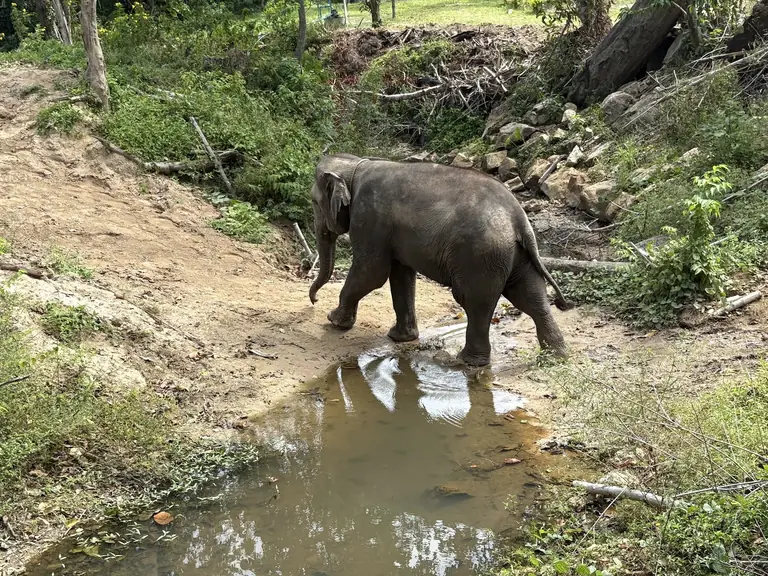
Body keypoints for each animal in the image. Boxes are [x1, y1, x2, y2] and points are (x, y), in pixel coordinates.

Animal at [308, 153, 569, 366]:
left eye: (314, 203)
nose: (314, 300)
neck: (356, 164)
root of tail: (518, 217)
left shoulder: (369, 217)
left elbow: (371, 271)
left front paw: (333, 321)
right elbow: (401, 274)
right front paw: (400, 338)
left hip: (481, 256)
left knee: (473, 301)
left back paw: (466, 361)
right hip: (514, 255)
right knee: (531, 296)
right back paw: (555, 357)